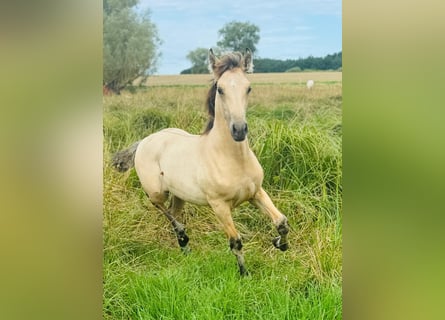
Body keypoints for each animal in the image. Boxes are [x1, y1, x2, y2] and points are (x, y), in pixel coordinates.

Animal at [112, 48, 290, 276]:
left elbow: (282, 222)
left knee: (173, 212)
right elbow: (235, 241)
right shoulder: (219, 205)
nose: (239, 130)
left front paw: (280, 243)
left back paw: (184, 247)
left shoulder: (256, 193)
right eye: (220, 89)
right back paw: (182, 236)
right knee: (160, 207)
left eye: (248, 87)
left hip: (179, 195)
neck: (232, 159)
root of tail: (146, 140)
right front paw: (244, 274)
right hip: (156, 192)